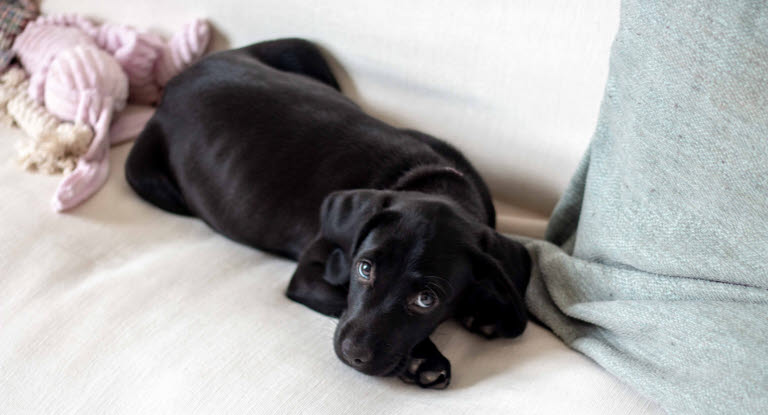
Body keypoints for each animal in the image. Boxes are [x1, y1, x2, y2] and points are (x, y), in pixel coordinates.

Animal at [127, 39, 536, 390]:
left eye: (426, 300)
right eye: (364, 269)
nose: (352, 355)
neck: (433, 181)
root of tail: (176, 83)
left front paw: (486, 309)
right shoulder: (310, 274)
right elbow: (343, 303)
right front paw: (425, 358)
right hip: (147, 179)